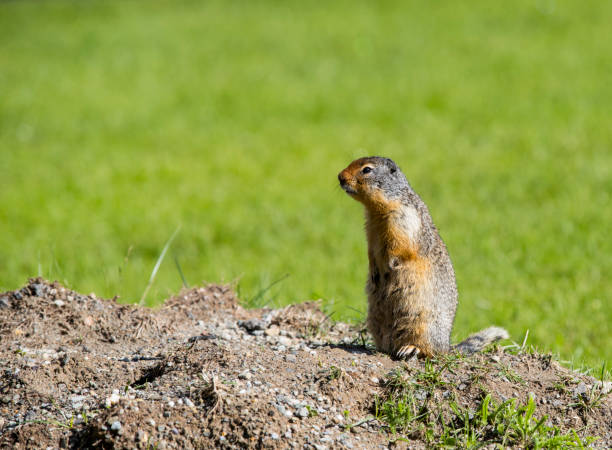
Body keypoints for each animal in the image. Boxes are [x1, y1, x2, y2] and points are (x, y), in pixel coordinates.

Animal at [338, 156, 510, 360]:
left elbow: (399, 247)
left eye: (366, 170)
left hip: (422, 323)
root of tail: (446, 347)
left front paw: (391, 265)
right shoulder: (370, 230)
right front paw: (374, 271)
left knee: (428, 350)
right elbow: (371, 251)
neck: (377, 210)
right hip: (374, 319)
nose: (340, 177)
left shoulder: (404, 219)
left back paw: (410, 349)